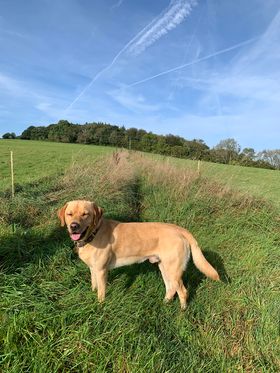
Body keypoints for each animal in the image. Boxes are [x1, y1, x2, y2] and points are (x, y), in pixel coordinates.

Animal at [58, 199, 220, 310]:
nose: (74, 226)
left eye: (85, 214)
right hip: (164, 267)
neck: (94, 233)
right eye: (69, 214)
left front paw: (100, 307)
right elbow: (94, 286)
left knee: (182, 291)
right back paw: (164, 304)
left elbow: (101, 293)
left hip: (173, 270)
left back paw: (182, 312)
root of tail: (180, 229)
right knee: (170, 288)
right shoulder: (93, 270)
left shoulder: (102, 271)